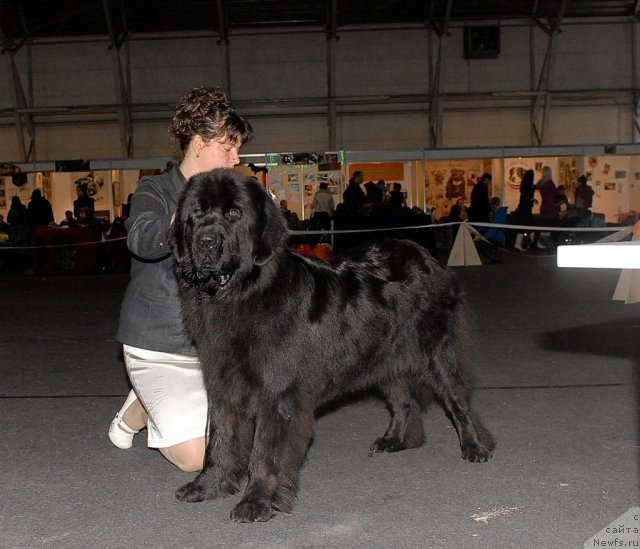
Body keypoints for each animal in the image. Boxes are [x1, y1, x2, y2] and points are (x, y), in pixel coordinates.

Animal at [171, 168, 496, 524]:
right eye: (196, 213)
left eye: (233, 214)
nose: (205, 241)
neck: (240, 293)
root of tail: (427, 258)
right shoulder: (224, 384)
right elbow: (220, 440)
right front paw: (207, 486)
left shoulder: (276, 394)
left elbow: (265, 451)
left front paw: (255, 502)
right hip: (383, 357)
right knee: (403, 401)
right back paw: (395, 440)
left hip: (437, 352)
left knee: (458, 402)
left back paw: (475, 447)